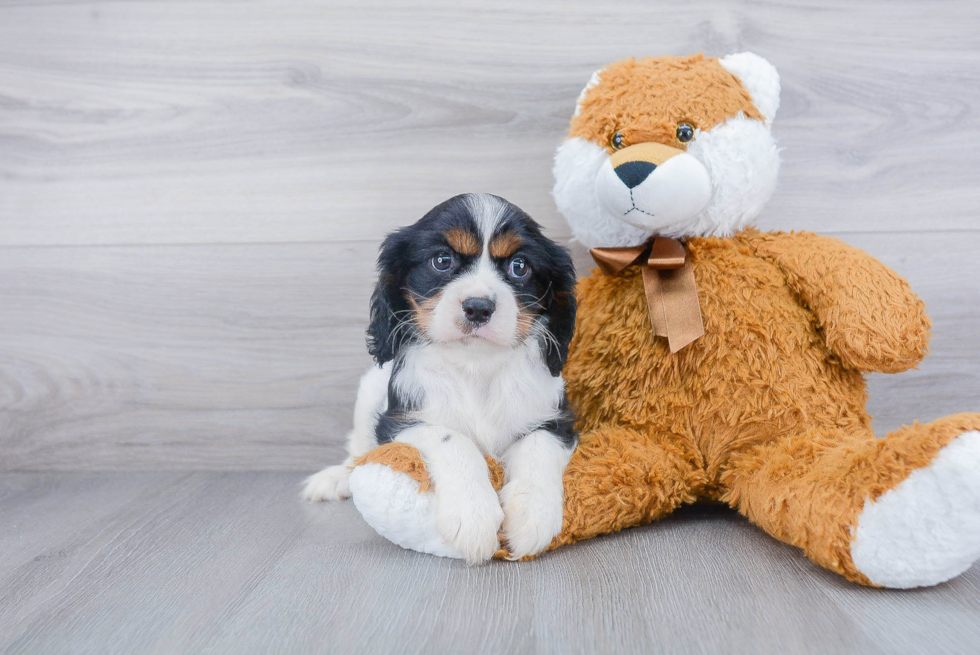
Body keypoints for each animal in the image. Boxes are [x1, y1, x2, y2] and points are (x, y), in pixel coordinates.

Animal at [302, 193, 580, 564]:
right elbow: (454, 440)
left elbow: (539, 447)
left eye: (519, 267)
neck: (476, 365)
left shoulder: (556, 419)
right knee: (358, 451)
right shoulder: (401, 421)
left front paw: (533, 516)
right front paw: (473, 516)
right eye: (442, 260)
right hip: (369, 390)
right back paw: (334, 480)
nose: (478, 307)